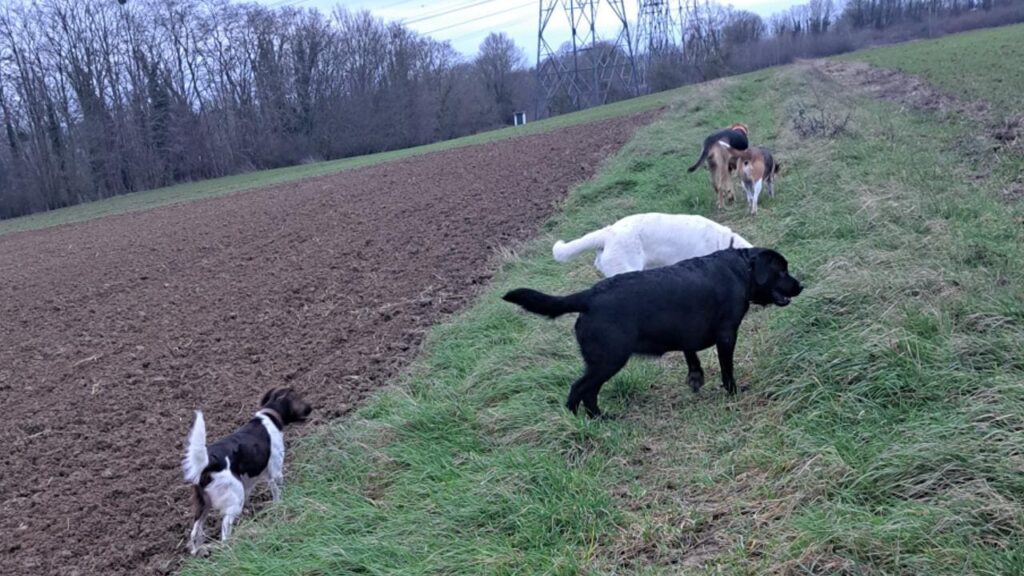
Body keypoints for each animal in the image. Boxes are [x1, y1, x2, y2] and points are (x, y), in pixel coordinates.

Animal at [182, 385, 311, 553]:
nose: (311, 408)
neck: (269, 416)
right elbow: (278, 493)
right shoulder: (275, 471)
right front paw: (280, 507)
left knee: (195, 532)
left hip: (203, 504)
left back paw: (197, 551)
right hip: (234, 498)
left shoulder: (251, 481)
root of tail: (209, 462)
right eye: (300, 398)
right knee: (225, 532)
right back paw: (231, 548)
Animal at [501, 247, 798, 416]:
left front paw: (695, 379)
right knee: (580, 390)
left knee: (588, 392)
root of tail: (589, 296)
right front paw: (734, 393)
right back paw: (582, 422)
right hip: (608, 360)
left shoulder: (686, 331)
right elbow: (728, 371)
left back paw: (598, 419)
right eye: (782, 271)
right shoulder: (727, 335)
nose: (801, 285)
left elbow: (691, 356)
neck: (742, 269)